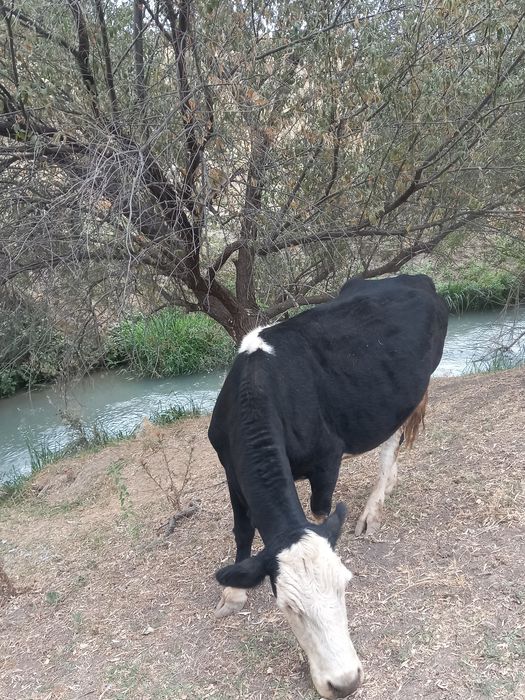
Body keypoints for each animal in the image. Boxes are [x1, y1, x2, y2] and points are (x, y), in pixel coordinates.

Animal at [208, 274, 448, 699]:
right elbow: (242, 528)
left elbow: (320, 511)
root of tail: (413, 278)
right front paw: (233, 594)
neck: (260, 385)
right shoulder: (230, 470)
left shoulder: (326, 460)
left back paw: (373, 507)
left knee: (392, 442)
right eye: (288, 607)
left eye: (345, 586)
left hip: (413, 390)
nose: (346, 681)